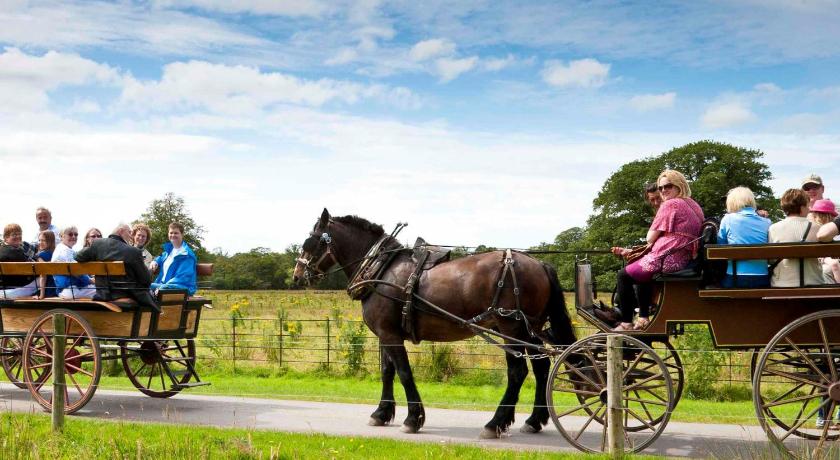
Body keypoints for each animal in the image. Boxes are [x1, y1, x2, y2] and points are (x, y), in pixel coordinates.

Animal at [290, 209, 576, 438]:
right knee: (541, 367)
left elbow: (404, 372)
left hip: (510, 328)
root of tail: (540, 262)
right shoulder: (386, 333)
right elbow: (387, 372)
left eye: (310, 241)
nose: (296, 275)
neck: (381, 270)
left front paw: (412, 419)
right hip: (530, 329)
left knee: (517, 372)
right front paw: (381, 413)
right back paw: (534, 420)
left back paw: (495, 423)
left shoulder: (390, 334)